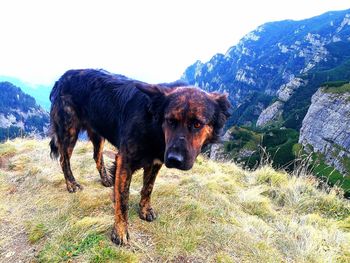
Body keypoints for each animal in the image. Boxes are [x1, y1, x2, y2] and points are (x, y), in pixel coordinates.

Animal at [48, 69, 230, 246]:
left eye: (197, 124)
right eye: (170, 121)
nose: (174, 159)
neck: (154, 127)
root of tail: (62, 77)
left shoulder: (155, 162)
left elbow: (148, 188)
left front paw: (144, 209)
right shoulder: (125, 161)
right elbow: (123, 200)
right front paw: (120, 231)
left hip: (98, 132)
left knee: (96, 156)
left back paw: (106, 179)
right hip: (69, 131)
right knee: (64, 159)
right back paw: (71, 184)